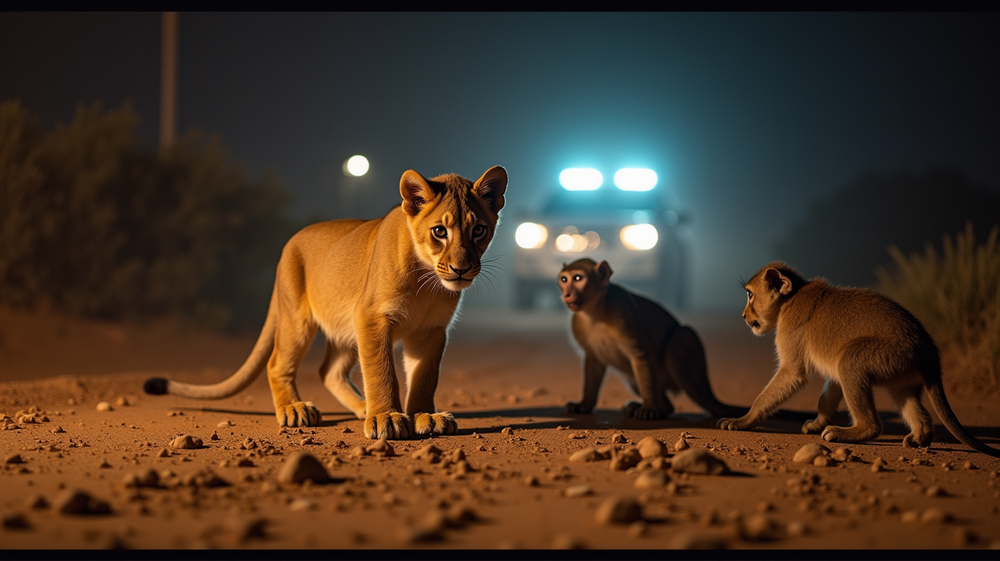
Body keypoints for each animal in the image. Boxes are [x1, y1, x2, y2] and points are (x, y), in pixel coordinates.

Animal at [718, 261, 1000, 457]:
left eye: (750, 295)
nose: (744, 315)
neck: (791, 298)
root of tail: (928, 348)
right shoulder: (832, 372)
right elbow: (826, 398)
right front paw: (817, 422)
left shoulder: (792, 352)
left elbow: (780, 385)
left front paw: (743, 420)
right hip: (901, 379)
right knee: (914, 410)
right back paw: (920, 436)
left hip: (861, 357)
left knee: (871, 417)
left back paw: (850, 432)